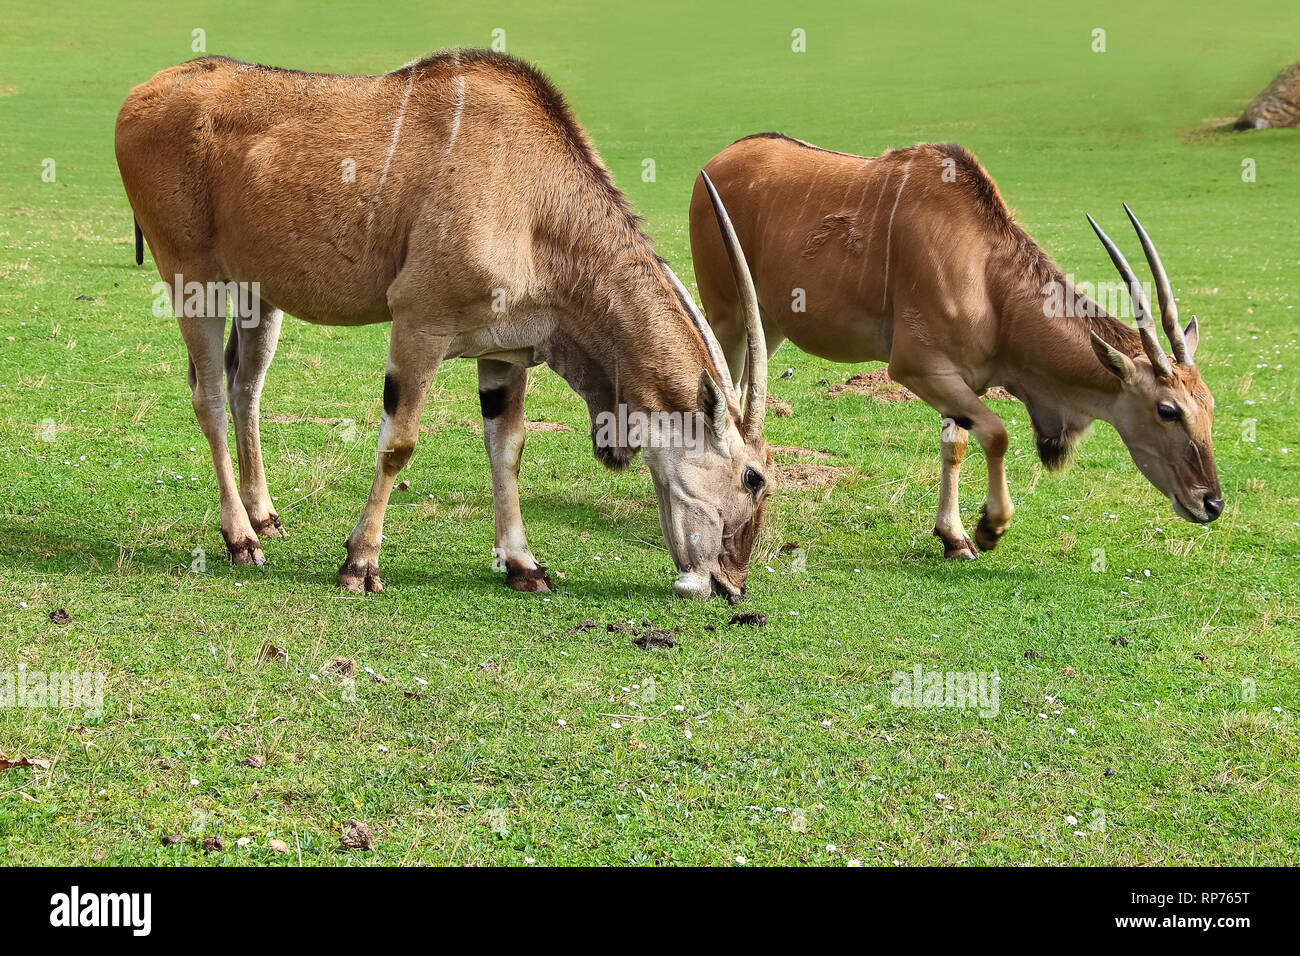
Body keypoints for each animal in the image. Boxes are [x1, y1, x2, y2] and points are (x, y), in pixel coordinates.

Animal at [115, 50, 772, 600]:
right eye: (753, 477)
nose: (732, 583)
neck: (537, 201)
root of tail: (141, 94)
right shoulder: (419, 325)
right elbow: (399, 443)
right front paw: (360, 564)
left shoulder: (504, 354)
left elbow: (507, 448)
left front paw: (523, 565)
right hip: (192, 280)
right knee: (208, 396)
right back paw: (239, 538)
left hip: (259, 297)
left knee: (244, 386)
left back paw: (264, 517)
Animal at [689, 134, 1222, 560]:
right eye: (1168, 410)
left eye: (1211, 408)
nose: (1211, 502)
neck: (988, 278)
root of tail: (716, 162)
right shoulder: (917, 368)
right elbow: (997, 434)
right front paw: (988, 528)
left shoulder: (961, 381)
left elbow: (957, 444)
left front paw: (954, 537)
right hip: (728, 316)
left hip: (768, 325)